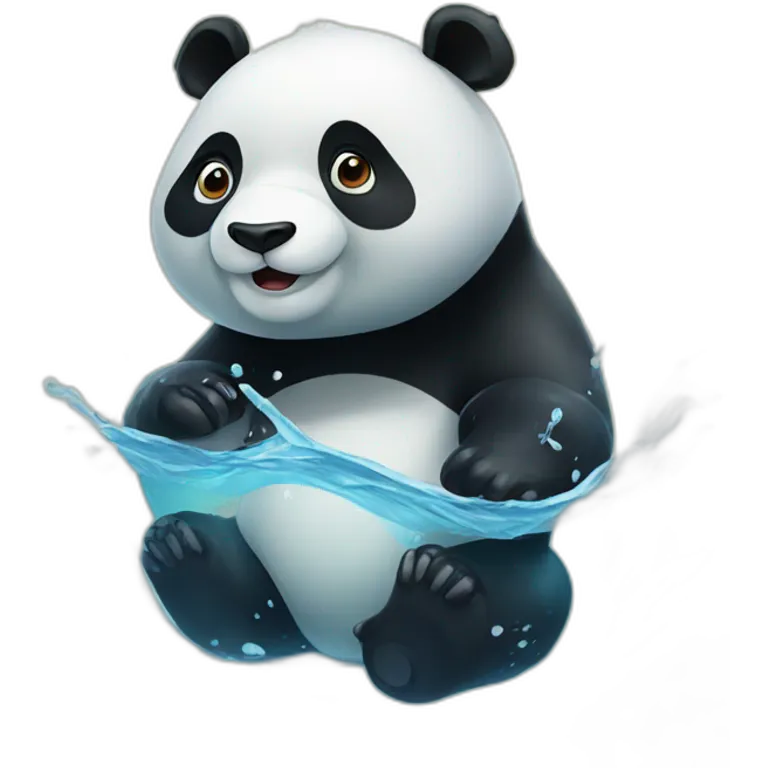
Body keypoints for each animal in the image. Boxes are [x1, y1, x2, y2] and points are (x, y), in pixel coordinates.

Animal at [131, 5, 615, 705]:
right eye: (213, 178)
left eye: (352, 169)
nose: (259, 233)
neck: (356, 333)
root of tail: (333, 642)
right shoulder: (246, 342)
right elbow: (156, 394)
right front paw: (196, 399)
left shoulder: (512, 302)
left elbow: (565, 409)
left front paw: (491, 469)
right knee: (245, 603)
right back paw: (191, 558)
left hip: (516, 567)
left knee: (519, 605)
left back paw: (430, 615)